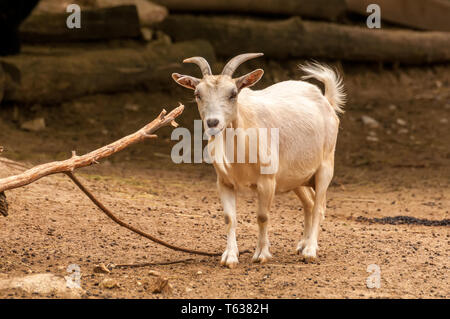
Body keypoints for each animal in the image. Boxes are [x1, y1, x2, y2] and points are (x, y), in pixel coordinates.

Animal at [171, 53, 344, 268]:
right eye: (197, 94)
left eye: (233, 93)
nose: (213, 122)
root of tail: (326, 101)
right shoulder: (224, 182)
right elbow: (229, 218)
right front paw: (230, 257)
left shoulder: (267, 181)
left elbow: (262, 216)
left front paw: (261, 254)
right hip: (296, 178)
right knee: (309, 204)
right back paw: (302, 245)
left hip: (325, 167)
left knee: (319, 206)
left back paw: (310, 251)